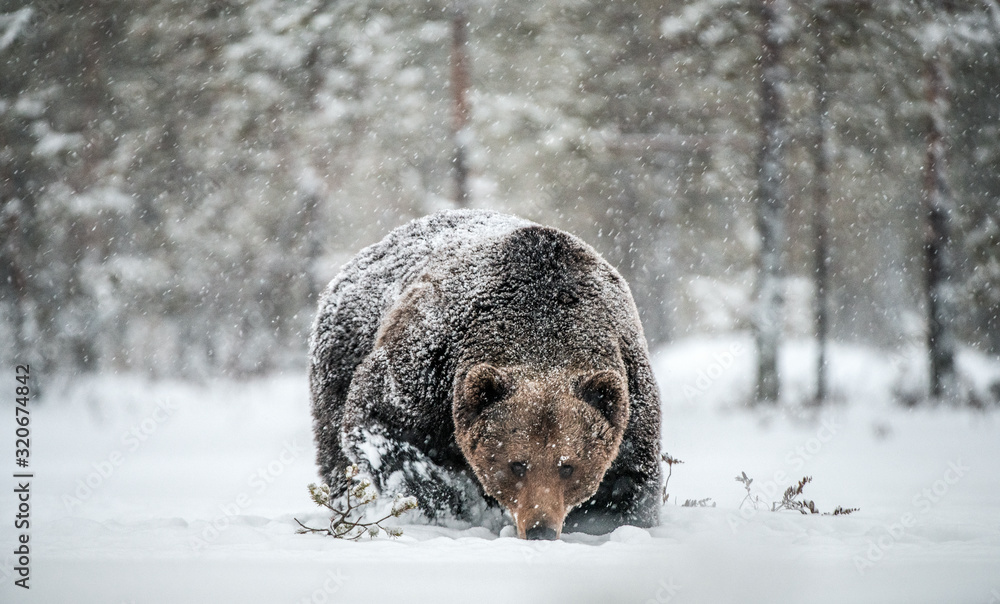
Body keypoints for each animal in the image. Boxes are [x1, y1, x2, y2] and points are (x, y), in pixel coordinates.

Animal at [308, 210, 660, 540]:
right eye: (517, 464)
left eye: (568, 466)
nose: (540, 529)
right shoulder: (429, 367)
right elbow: (378, 422)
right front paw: (445, 500)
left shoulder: (629, 392)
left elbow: (630, 485)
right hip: (342, 352)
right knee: (337, 455)